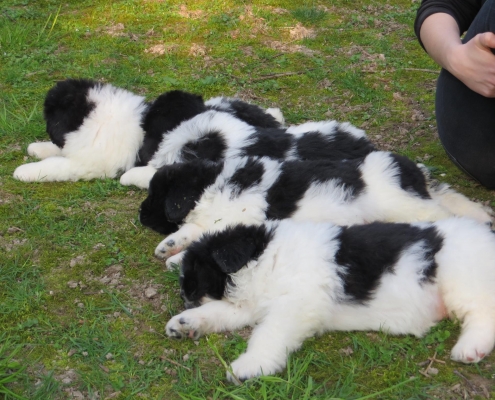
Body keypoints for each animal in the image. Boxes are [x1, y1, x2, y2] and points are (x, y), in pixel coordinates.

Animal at [12, 77, 282, 183]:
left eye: (50, 116)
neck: (95, 117)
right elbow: (56, 151)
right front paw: (37, 148)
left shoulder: (90, 164)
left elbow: (56, 164)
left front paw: (25, 171)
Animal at [166, 217, 495, 382]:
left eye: (194, 276)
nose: (183, 297)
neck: (265, 257)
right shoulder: (251, 304)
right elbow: (219, 310)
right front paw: (185, 323)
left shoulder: (296, 304)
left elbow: (268, 334)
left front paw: (250, 366)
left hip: (462, 276)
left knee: (483, 312)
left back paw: (470, 347)